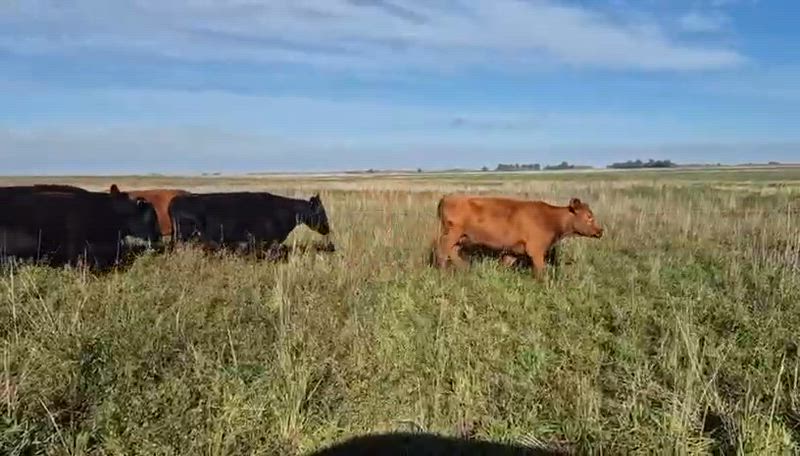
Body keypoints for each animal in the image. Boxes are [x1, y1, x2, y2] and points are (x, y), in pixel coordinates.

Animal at [433, 194, 603, 279]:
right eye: (589, 217)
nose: (600, 231)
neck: (550, 219)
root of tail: (447, 197)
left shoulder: (513, 250)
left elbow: (504, 265)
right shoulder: (536, 250)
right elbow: (540, 271)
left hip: (461, 237)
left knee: (452, 251)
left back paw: (464, 268)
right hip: (451, 234)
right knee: (442, 249)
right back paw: (443, 272)